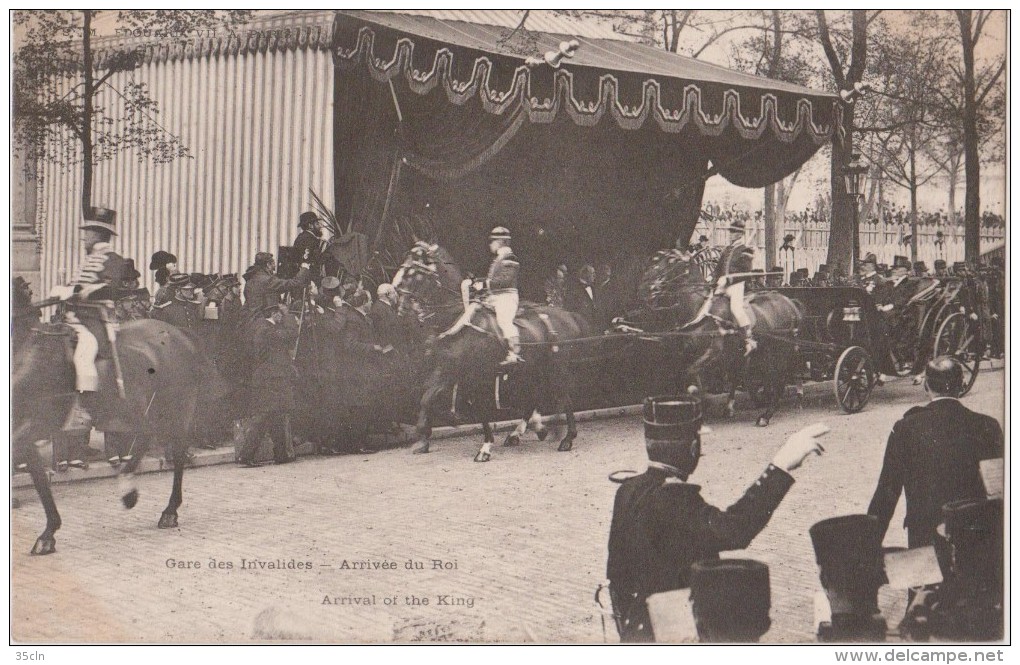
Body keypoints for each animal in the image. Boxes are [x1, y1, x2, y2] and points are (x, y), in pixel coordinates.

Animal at [12, 314, 223, 554]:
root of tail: (179, 334)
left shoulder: (36, 425)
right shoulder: (28, 431)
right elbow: (38, 475)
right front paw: (48, 533)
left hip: (175, 409)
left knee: (176, 453)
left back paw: (166, 509)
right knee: (146, 436)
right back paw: (129, 484)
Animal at [391, 242, 595, 463]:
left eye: (414, 273)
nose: (399, 307)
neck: (459, 320)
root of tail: (569, 315)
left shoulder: (474, 377)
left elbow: (476, 408)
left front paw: (484, 448)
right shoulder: (449, 372)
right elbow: (429, 398)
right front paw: (425, 437)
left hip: (556, 368)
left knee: (564, 397)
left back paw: (566, 438)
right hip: (532, 369)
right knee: (534, 397)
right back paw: (525, 431)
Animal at [616, 251, 799, 428]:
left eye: (671, 262)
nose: (643, 288)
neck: (699, 312)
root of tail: (789, 302)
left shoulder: (714, 354)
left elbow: (693, 377)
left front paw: (705, 402)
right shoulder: (688, 355)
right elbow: (687, 376)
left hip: (778, 354)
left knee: (778, 380)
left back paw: (766, 415)